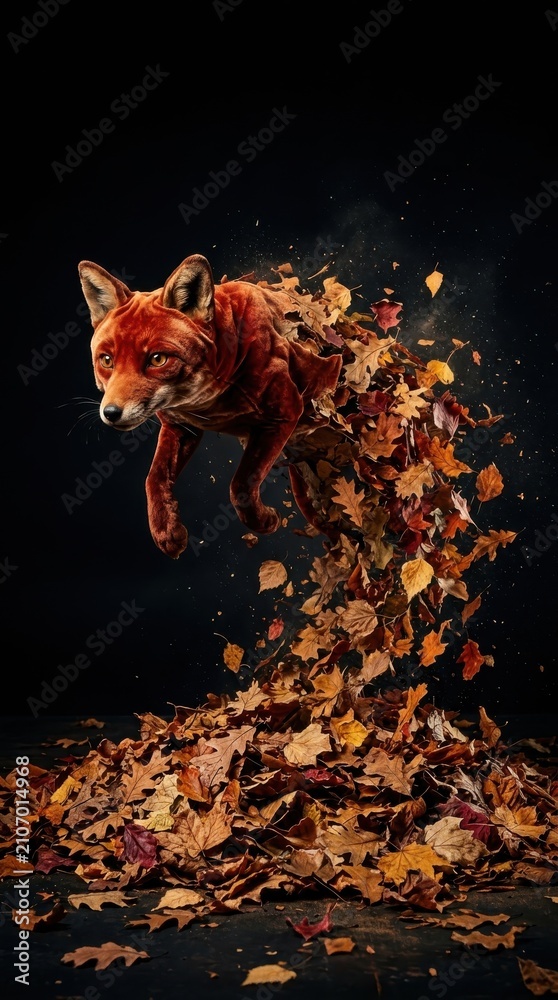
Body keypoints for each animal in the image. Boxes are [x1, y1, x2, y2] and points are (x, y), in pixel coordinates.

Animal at [78, 254, 342, 558]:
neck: (209, 403)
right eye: (107, 360)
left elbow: (240, 485)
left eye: (158, 359)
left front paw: (263, 520)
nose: (111, 412)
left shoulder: (285, 411)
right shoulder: (181, 426)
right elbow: (154, 479)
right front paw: (167, 532)